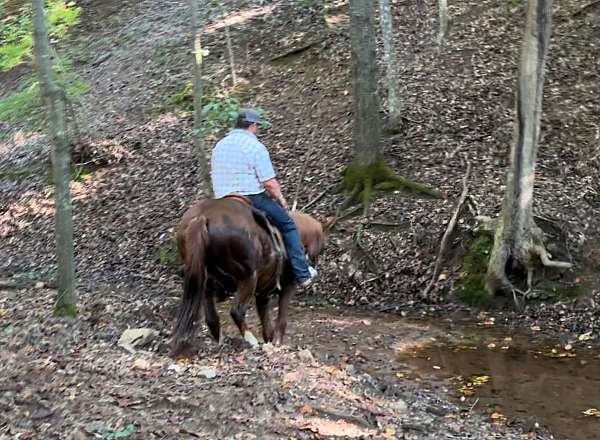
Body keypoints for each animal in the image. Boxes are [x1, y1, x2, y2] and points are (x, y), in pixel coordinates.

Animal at [170, 197, 328, 358]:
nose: (313, 266)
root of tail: (202, 217)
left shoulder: (263, 293)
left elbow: (266, 325)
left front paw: (269, 342)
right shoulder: (288, 285)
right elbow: (281, 320)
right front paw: (277, 344)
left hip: (206, 279)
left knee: (211, 317)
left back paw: (219, 339)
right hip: (248, 277)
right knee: (237, 311)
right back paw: (251, 341)